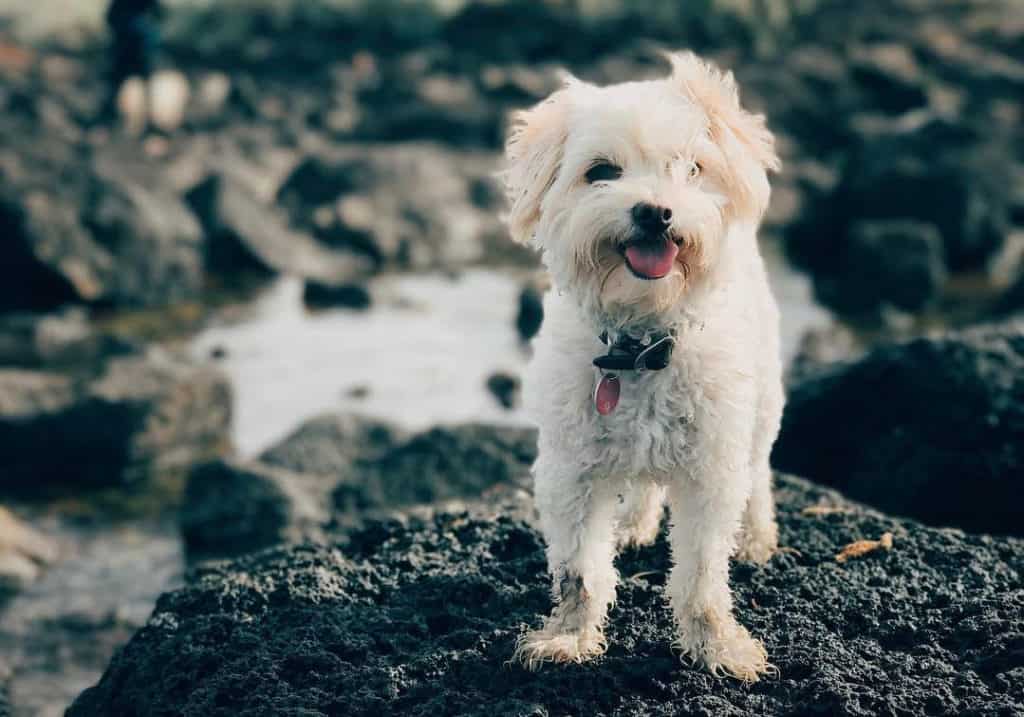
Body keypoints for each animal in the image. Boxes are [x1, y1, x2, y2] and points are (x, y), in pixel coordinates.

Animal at [503, 53, 782, 680]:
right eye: (601, 171)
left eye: (692, 168)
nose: (655, 211)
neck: (642, 343)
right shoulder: (570, 474)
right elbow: (580, 573)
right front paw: (569, 637)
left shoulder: (711, 472)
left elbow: (701, 577)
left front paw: (719, 647)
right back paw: (633, 523)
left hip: (761, 407)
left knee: (759, 473)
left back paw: (756, 536)